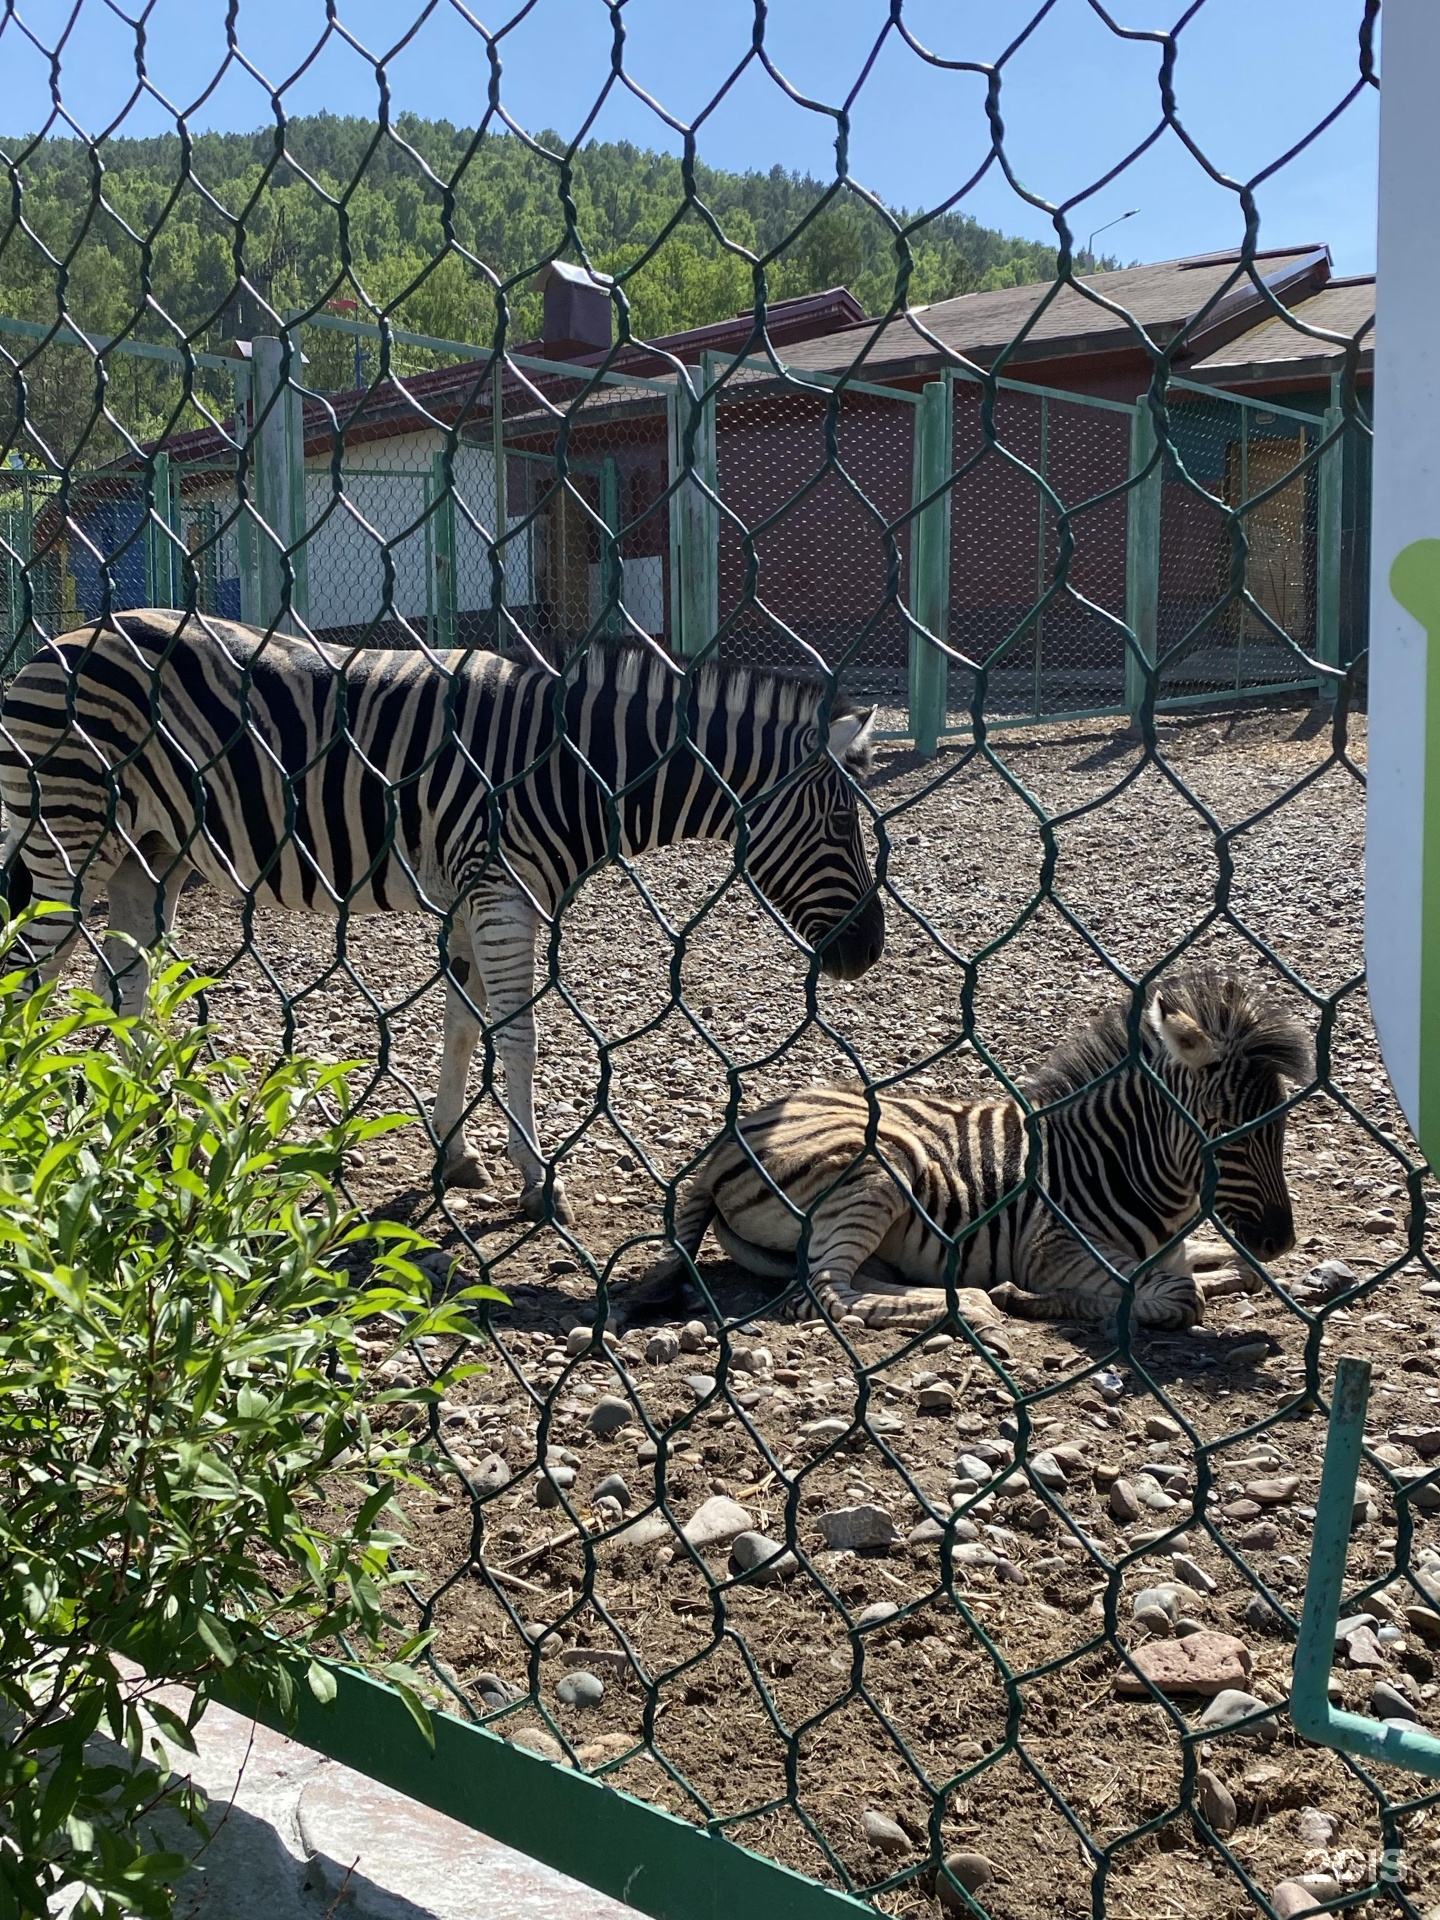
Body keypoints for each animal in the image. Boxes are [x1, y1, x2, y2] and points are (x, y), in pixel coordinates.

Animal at [0, 614, 887, 1213]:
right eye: (841, 825)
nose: (869, 956)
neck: (569, 768)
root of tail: (52, 645)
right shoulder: (502, 893)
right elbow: (520, 1036)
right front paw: (537, 1180)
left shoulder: (472, 897)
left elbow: (463, 1027)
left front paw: (454, 1156)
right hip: (68, 836)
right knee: (30, 979)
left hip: (148, 855)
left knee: (122, 992)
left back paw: (138, 1123)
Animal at [622, 967, 1320, 1328]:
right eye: (1220, 1126)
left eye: (1283, 1125)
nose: (1280, 1239)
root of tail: (720, 1148)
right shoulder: (1053, 1249)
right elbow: (1177, 1300)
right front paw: (1033, 1299)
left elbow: (1230, 1270)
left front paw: (1246, 1273)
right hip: (878, 1167)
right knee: (825, 1295)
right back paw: (978, 1305)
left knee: (830, 1280)